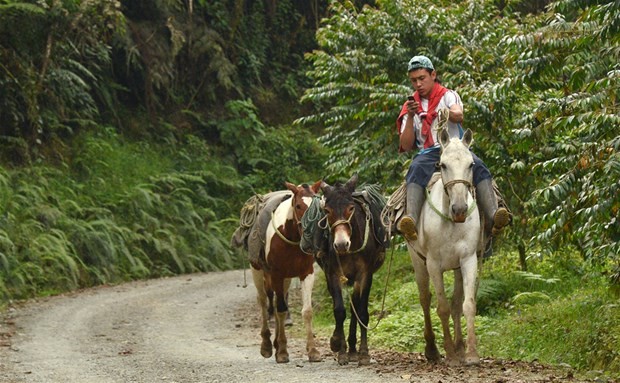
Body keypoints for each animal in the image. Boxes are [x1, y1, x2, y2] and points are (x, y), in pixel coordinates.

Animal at [249, 182, 322, 364]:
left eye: (318, 206)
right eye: (298, 206)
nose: (310, 240)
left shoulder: (306, 273)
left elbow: (307, 311)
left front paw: (313, 351)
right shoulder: (276, 274)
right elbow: (281, 310)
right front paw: (282, 351)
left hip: (286, 279)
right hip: (258, 271)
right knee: (263, 302)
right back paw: (267, 346)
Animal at [406, 127, 484, 368]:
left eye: (471, 165)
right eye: (443, 165)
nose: (460, 209)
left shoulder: (468, 260)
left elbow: (467, 304)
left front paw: (471, 353)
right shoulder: (433, 264)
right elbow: (442, 307)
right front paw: (449, 354)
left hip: (457, 268)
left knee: (457, 302)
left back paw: (459, 347)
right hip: (418, 263)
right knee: (425, 299)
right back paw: (432, 349)